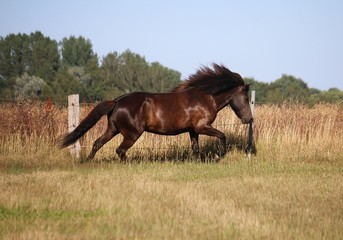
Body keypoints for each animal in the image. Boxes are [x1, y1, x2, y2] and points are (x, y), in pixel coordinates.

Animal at [59, 63, 253, 161]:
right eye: (245, 98)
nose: (249, 119)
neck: (205, 97)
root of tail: (116, 101)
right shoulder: (202, 127)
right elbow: (222, 135)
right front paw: (219, 155)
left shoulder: (193, 130)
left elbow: (196, 149)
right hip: (132, 134)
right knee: (120, 150)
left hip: (113, 129)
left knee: (97, 144)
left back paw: (87, 162)